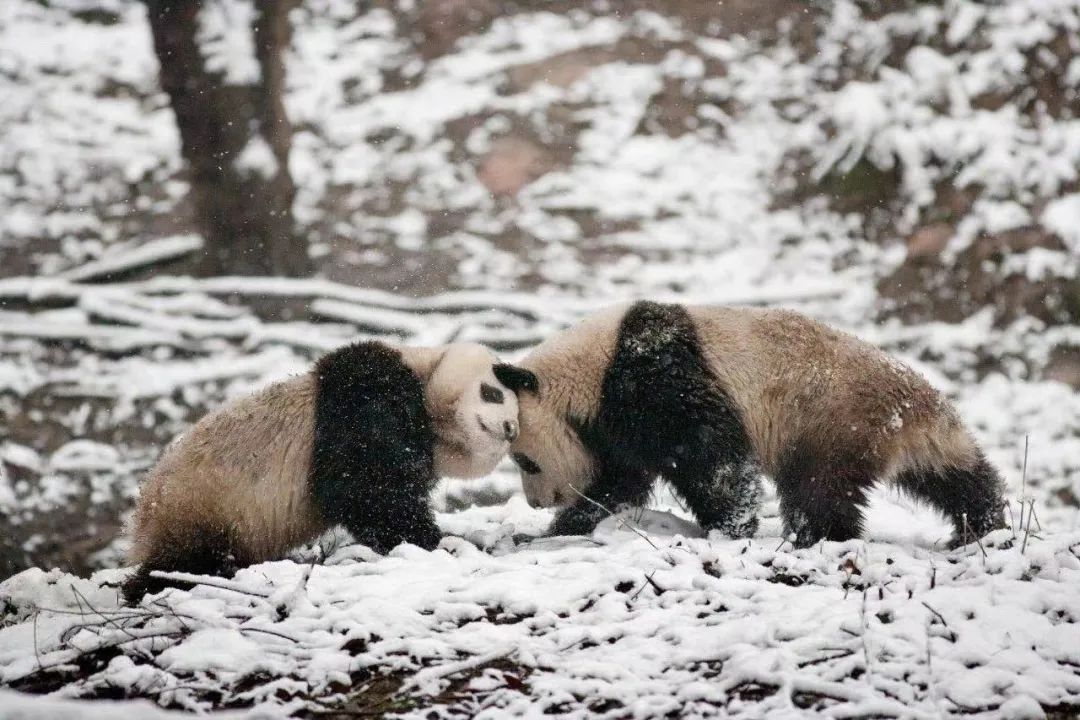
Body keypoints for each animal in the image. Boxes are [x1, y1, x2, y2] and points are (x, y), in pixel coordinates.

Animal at [122, 341, 518, 604]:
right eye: (493, 393)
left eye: (519, 414)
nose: (510, 428)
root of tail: (142, 517)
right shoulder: (366, 398)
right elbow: (363, 488)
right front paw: (435, 542)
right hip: (200, 504)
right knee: (185, 560)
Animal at [496, 302, 1002, 548]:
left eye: (525, 460)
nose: (537, 502)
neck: (591, 372)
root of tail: (916, 407)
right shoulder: (619, 423)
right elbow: (620, 482)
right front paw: (556, 529)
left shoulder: (653, 376)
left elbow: (711, 455)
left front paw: (729, 527)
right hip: (883, 430)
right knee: (951, 475)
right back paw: (981, 526)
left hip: (832, 418)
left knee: (819, 488)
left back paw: (816, 537)